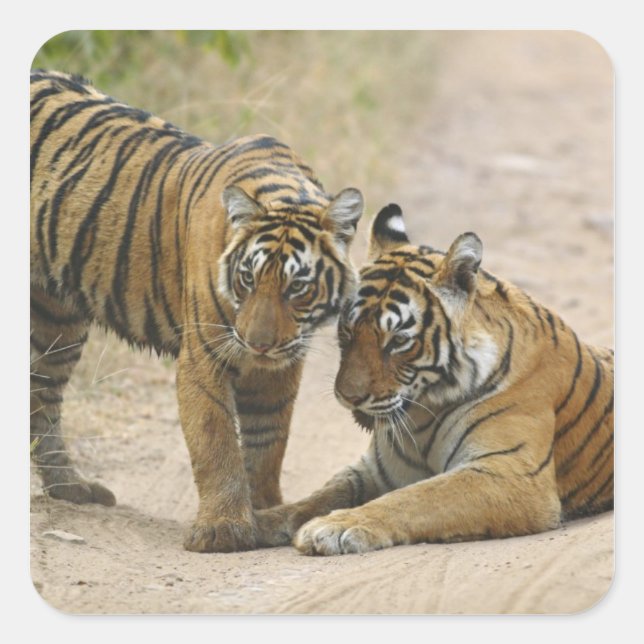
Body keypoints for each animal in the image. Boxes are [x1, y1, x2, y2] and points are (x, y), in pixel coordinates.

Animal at [30, 70, 364, 553]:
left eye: (297, 287)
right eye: (248, 279)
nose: (259, 344)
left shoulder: (280, 367)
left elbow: (268, 441)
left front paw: (264, 511)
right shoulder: (206, 354)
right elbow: (216, 439)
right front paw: (223, 529)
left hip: (56, 318)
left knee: (42, 393)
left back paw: (70, 487)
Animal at [255, 203, 614, 555]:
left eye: (398, 341)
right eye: (347, 330)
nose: (348, 397)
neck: (422, 413)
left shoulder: (512, 472)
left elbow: (416, 497)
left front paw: (334, 527)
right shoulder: (375, 469)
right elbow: (321, 495)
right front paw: (259, 522)